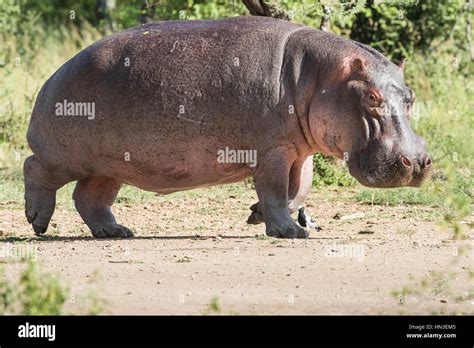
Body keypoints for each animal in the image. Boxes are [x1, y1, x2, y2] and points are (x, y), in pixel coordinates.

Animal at [25, 16, 434, 239]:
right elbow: (275, 189)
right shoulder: (272, 150)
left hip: (111, 164)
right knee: (36, 170)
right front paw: (290, 232)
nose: (416, 162)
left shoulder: (299, 150)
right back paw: (38, 223)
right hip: (63, 156)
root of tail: (52, 77)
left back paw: (117, 231)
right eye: (371, 98)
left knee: (89, 197)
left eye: (411, 96)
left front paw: (257, 215)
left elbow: (299, 188)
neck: (319, 75)